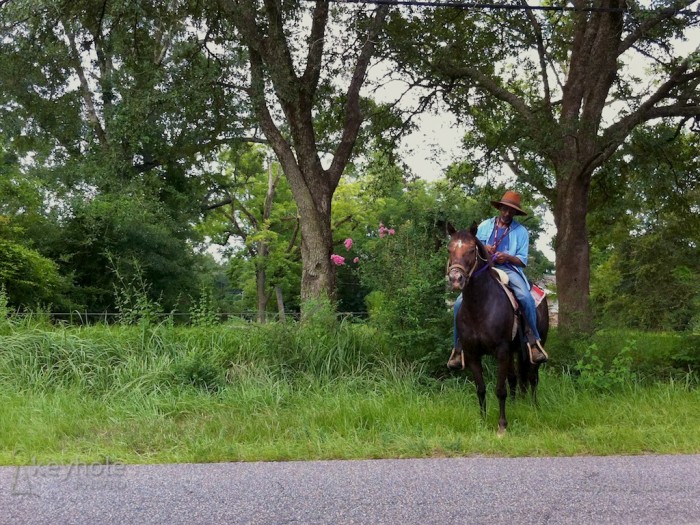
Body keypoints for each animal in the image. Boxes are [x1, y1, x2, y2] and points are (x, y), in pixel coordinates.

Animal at [448, 223, 548, 432]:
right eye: (449, 249)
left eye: (471, 250)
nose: (455, 279)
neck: (480, 305)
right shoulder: (472, 354)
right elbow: (481, 389)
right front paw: (482, 420)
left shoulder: (501, 351)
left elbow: (500, 390)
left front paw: (502, 425)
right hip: (514, 352)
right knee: (515, 378)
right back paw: (516, 405)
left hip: (534, 347)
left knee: (533, 378)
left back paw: (534, 407)